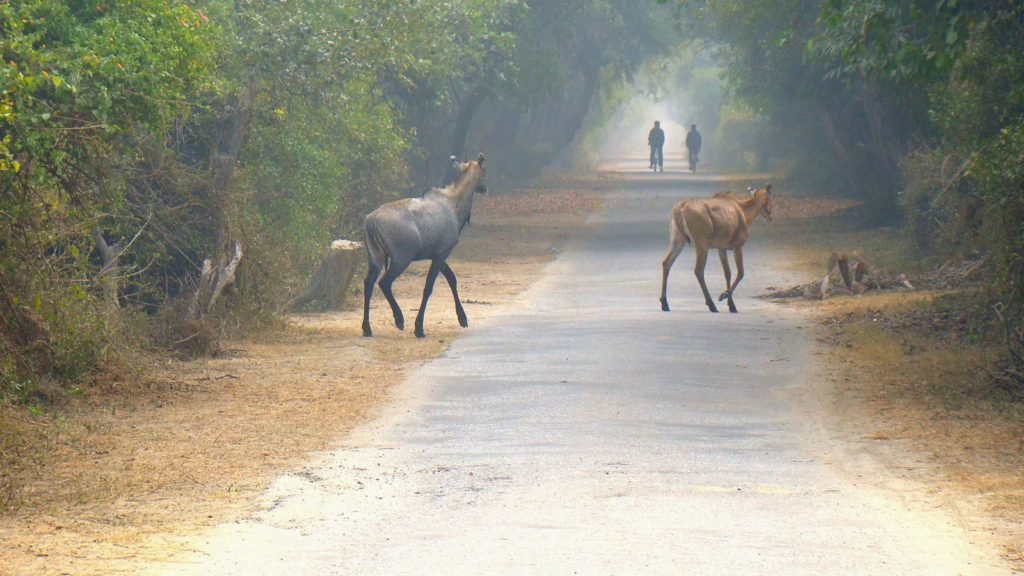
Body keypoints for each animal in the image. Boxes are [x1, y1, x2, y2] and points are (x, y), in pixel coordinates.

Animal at [360, 152, 487, 336]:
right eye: (485, 171)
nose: (484, 188)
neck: (457, 208)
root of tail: (371, 223)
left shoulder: (438, 253)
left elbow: (452, 278)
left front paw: (462, 318)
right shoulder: (442, 252)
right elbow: (429, 287)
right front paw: (419, 327)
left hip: (375, 256)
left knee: (368, 283)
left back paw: (367, 328)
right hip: (401, 257)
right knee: (384, 282)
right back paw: (399, 319)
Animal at [659, 183, 770, 311]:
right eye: (770, 199)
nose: (769, 215)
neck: (747, 214)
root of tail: (679, 210)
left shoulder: (721, 248)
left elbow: (728, 273)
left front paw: (731, 304)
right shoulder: (737, 245)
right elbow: (740, 272)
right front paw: (724, 295)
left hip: (677, 238)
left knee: (666, 263)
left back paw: (664, 302)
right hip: (701, 242)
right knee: (698, 270)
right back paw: (711, 304)